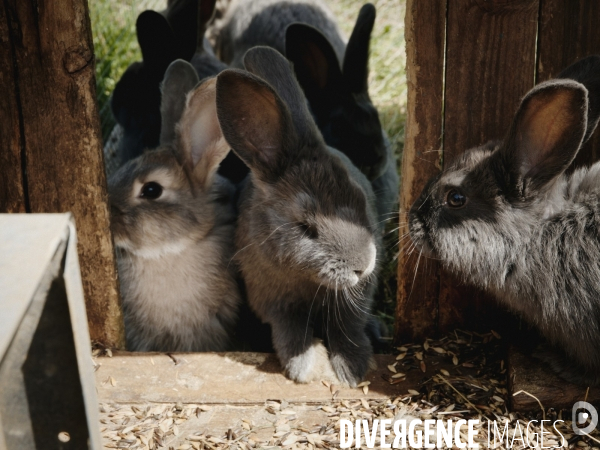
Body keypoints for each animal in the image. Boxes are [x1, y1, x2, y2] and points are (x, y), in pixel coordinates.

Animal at [214, 46, 380, 386]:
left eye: (360, 197)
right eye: (304, 226)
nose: (364, 265)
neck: (309, 279)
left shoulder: (353, 303)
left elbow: (348, 327)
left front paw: (352, 371)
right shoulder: (276, 305)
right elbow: (292, 331)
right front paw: (304, 368)